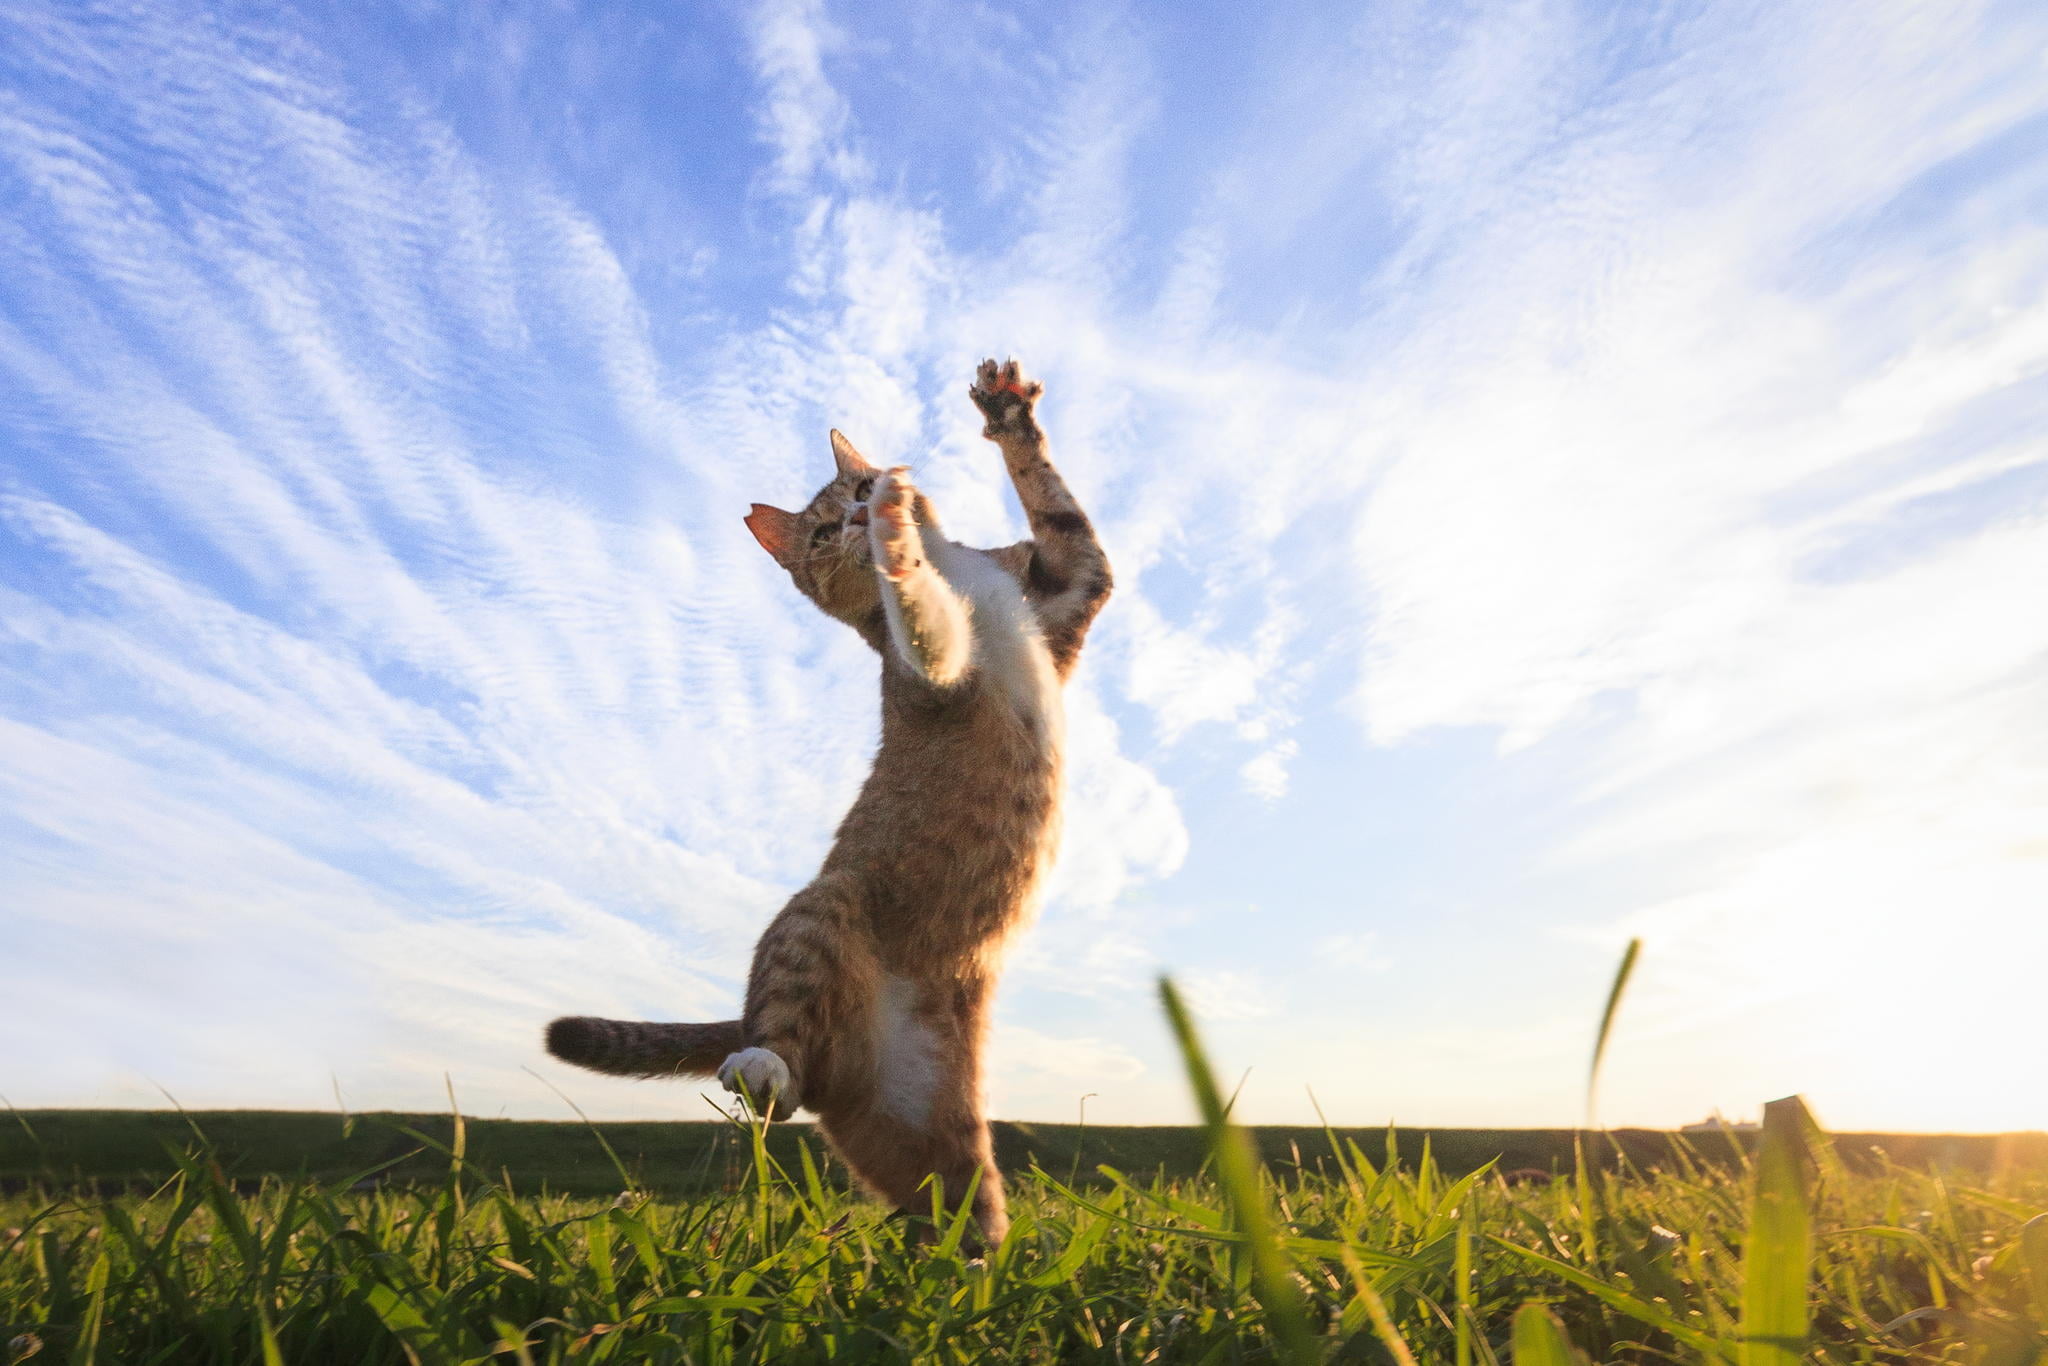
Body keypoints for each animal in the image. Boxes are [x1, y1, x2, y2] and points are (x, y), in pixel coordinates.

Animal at [544, 358, 1114, 1245]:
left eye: (860, 478)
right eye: (816, 533)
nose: (859, 504)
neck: (965, 572)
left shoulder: (1066, 589)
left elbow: (1063, 512)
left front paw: (1007, 417)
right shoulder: (935, 673)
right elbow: (923, 612)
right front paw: (892, 544)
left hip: (943, 1144)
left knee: (949, 1207)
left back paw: (975, 1270)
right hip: (822, 907)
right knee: (780, 1072)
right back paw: (761, 1064)